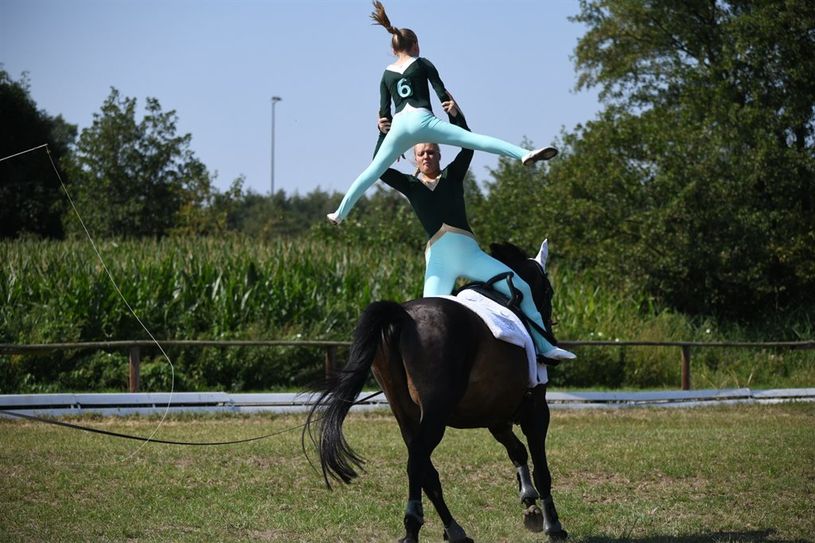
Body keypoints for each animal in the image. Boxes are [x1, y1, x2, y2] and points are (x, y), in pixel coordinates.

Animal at [304, 242, 568, 543]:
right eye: (549, 291)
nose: (550, 335)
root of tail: (402, 316)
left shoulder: (495, 416)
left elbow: (518, 451)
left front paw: (529, 501)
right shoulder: (536, 410)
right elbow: (541, 467)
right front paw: (552, 524)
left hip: (404, 412)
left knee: (425, 469)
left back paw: (454, 530)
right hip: (435, 412)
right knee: (417, 460)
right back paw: (413, 525)